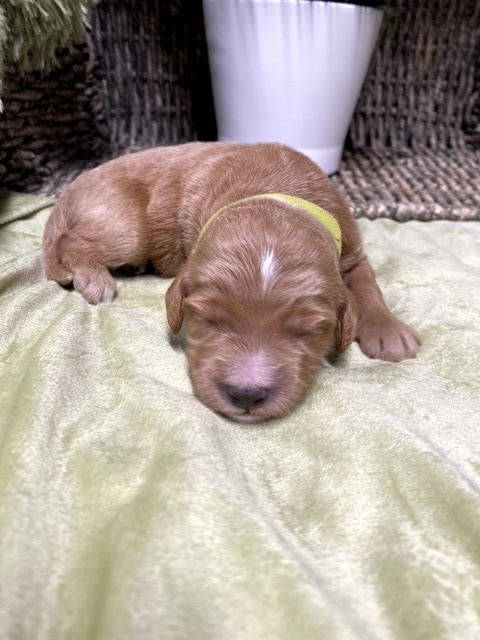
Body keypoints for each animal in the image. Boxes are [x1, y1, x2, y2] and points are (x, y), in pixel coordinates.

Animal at [45, 142, 420, 422]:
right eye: (208, 320)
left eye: (308, 331)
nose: (246, 394)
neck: (275, 194)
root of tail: (69, 190)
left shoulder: (352, 251)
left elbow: (368, 285)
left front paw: (389, 332)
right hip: (127, 227)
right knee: (70, 240)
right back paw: (94, 278)